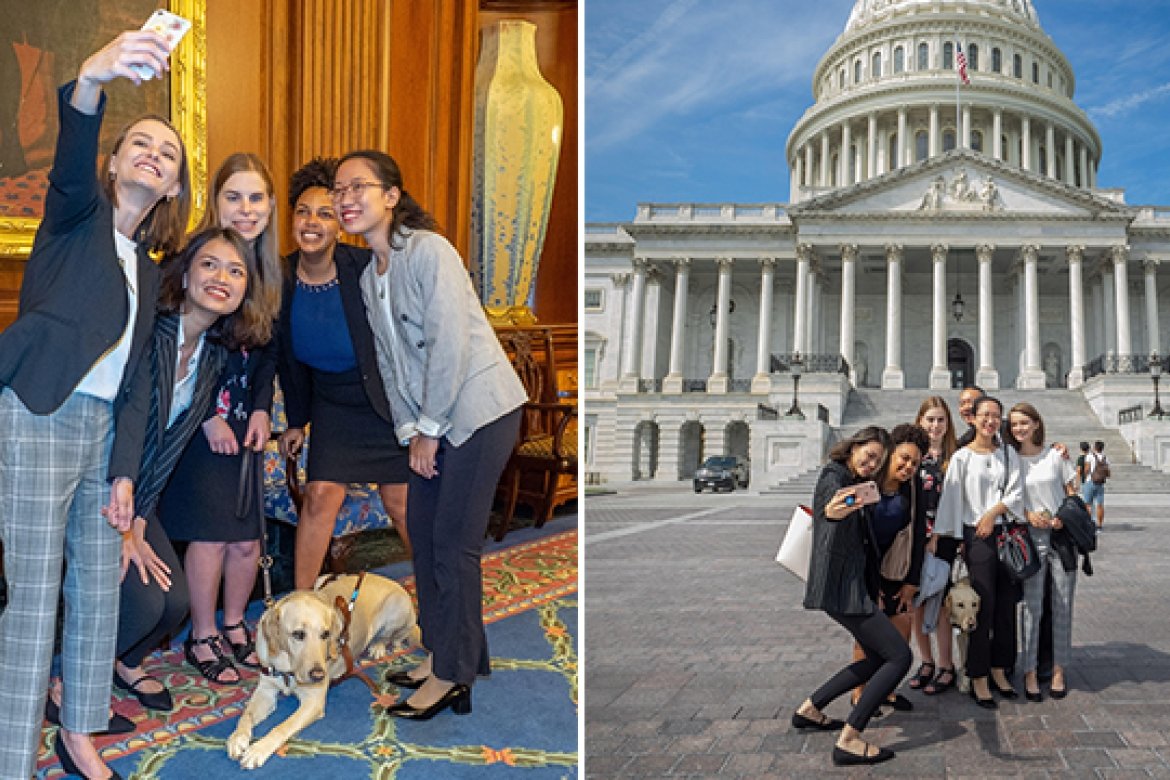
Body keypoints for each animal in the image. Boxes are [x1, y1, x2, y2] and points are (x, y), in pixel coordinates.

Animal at [225, 573, 418, 767]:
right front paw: (237, 738)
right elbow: (246, 714)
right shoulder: (265, 690)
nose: (318, 675)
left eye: (325, 634)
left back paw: (378, 646)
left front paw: (259, 749)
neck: (287, 669)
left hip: (396, 609)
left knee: (391, 637)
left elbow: (283, 726)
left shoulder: (313, 702)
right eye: (298, 634)